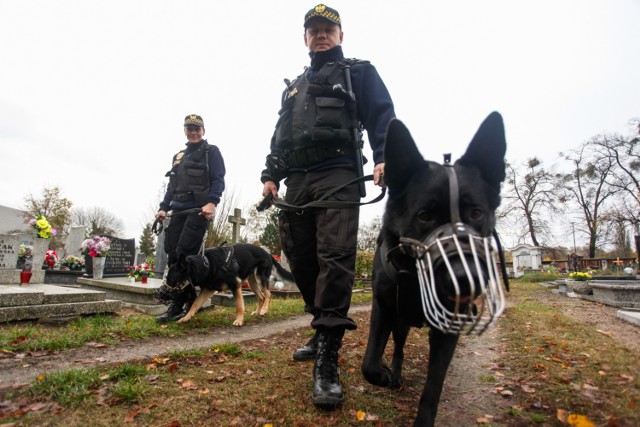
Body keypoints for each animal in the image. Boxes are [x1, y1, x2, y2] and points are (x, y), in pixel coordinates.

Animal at [165, 244, 296, 328]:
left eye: (171, 280)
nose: (162, 293)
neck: (206, 264)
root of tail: (268, 254)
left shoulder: (236, 285)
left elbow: (239, 306)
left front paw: (239, 320)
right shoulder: (208, 290)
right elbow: (195, 304)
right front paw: (186, 318)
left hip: (261, 278)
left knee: (268, 294)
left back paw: (264, 310)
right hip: (252, 283)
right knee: (261, 297)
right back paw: (257, 312)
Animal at [362, 112, 508, 426]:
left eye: (476, 213)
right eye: (424, 216)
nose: (465, 279)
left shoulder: (447, 327)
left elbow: (433, 387)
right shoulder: (384, 308)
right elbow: (369, 363)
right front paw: (382, 374)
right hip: (401, 322)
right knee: (399, 349)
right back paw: (394, 374)